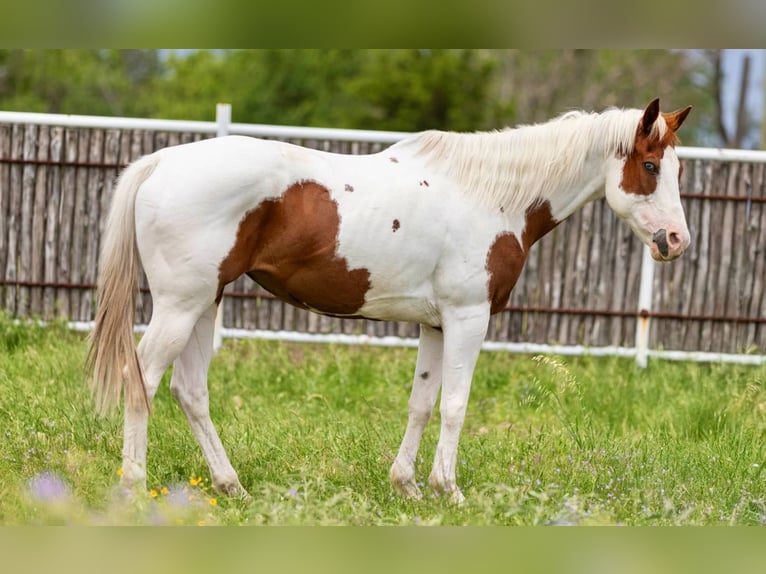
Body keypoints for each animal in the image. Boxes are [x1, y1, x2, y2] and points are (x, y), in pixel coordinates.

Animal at [88, 98, 692, 503]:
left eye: (677, 169)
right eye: (650, 167)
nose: (676, 241)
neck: (492, 194)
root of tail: (163, 163)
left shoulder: (436, 325)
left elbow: (422, 402)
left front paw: (407, 485)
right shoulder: (468, 319)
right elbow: (455, 405)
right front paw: (449, 490)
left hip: (203, 304)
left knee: (190, 391)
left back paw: (229, 484)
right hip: (179, 307)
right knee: (141, 378)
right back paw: (134, 484)